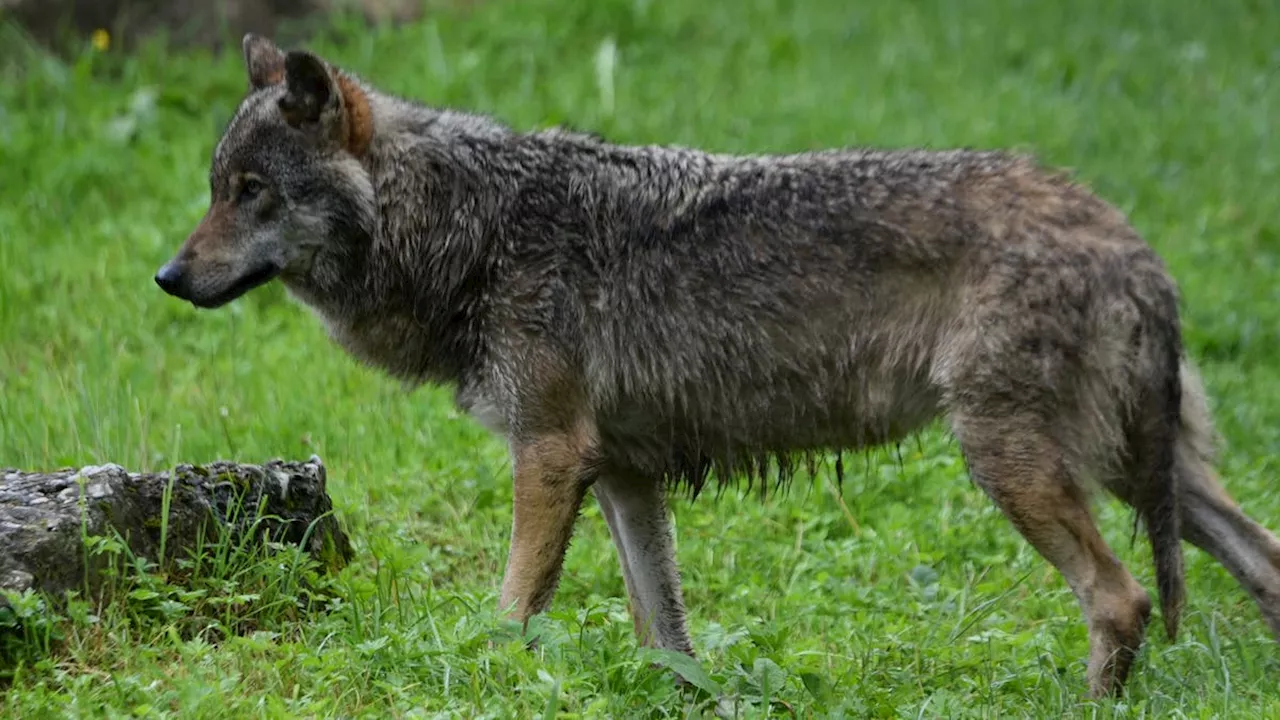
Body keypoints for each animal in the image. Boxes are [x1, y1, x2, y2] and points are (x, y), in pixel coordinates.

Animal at [157, 35, 1280, 696]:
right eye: (215, 187)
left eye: (252, 190)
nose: (167, 276)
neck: (468, 230)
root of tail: (1126, 234)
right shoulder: (620, 475)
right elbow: (666, 636)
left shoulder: (548, 455)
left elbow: (510, 614)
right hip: (1141, 472)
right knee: (1257, 563)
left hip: (1012, 463)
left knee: (1120, 598)